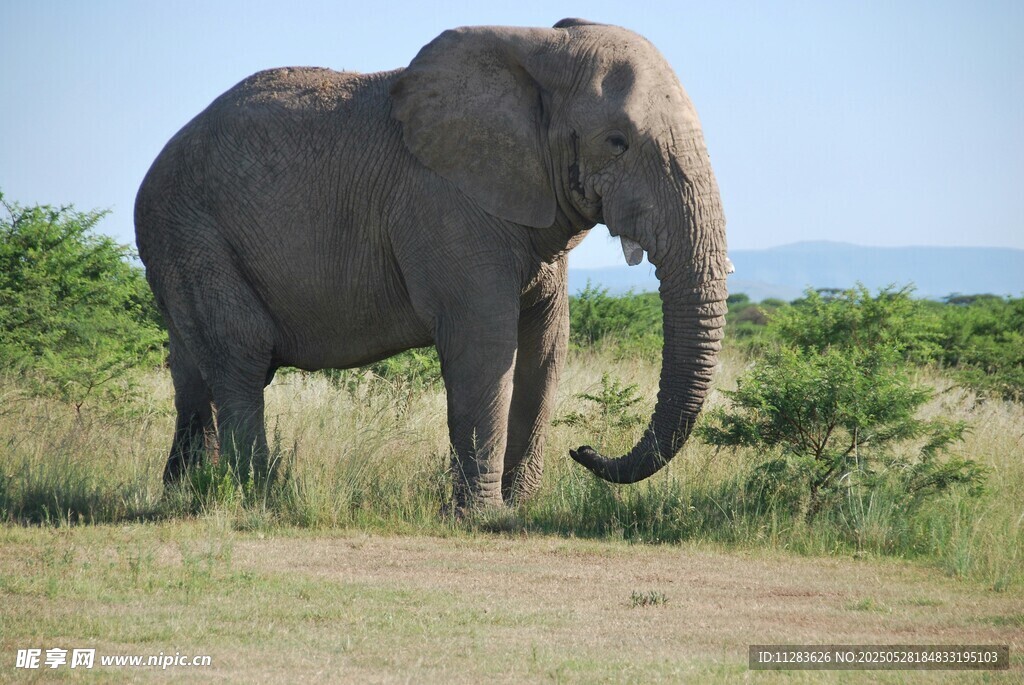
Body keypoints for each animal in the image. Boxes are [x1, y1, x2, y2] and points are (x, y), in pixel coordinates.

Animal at [135, 18, 729, 510]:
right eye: (617, 142)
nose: (583, 450)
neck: (538, 48)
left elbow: (547, 344)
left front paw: (518, 511)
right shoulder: (443, 203)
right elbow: (484, 343)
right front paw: (481, 517)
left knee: (195, 372)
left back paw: (185, 495)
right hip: (189, 232)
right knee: (240, 357)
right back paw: (259, 498)